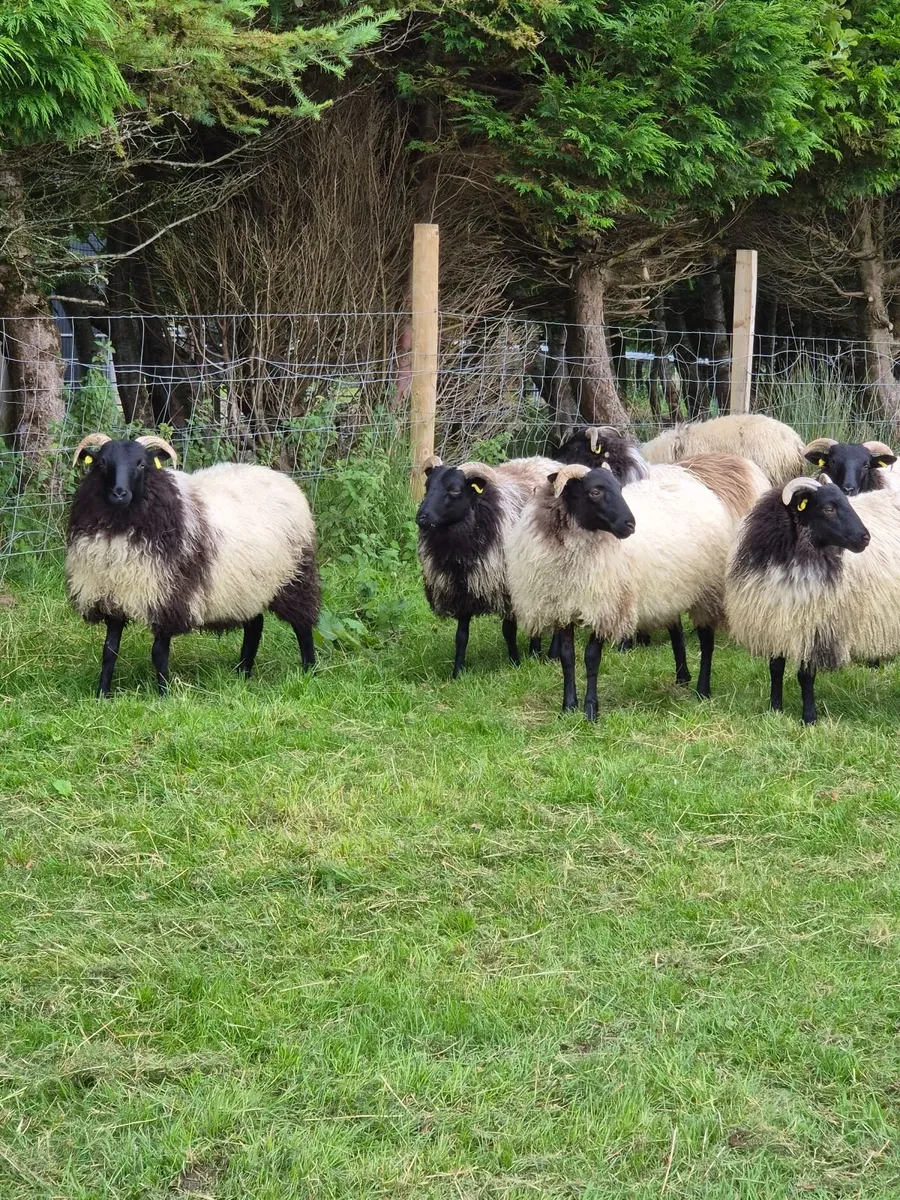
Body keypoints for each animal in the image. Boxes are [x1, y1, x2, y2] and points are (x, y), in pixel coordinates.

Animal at [66, 433, 321, 696]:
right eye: (102, 463)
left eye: (142, 464)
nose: (119, 493)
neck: (121, 525)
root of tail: (280, 477)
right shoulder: (113, 595)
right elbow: (109, 650)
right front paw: (101, 694)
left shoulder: (169, 596)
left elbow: (158, 653)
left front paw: (164, 694)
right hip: (248, 584)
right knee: (254, 626)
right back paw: (243, 673)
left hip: (295, 575)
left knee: (302, 624)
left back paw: (309, 670)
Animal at [416, 453, 560, 676]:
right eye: (427, 485)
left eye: (454, 490)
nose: (421, 517)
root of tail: (549, 460)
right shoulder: (463, 589)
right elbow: (461, 636)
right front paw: (457, 672)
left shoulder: (507, 588)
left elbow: (508, 631)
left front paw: (515, 662)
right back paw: (535, 652)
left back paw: (551, 655)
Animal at [505, 453, 769, 720]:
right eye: (595, 492)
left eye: (619, 488)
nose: (630, 524)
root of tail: (694, 484)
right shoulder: (563, 607)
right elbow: (567, 657)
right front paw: (568, 707)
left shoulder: (606, 607)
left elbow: (591, 657)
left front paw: (590, 710)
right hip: (670, 587)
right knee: (677, 631)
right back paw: (682, 676)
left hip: (707, 590)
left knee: (706, 640)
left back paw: (702, 690)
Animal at [724, 474, 900, 723]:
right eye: (828, 508)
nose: (865, 538)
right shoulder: (774, 620)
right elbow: (775, 669)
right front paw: (775, 709)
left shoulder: (814, 626)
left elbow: (805, 676)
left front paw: (809, 718)